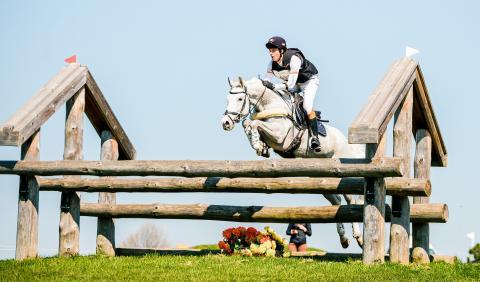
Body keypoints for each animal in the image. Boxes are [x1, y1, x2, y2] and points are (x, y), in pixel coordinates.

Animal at [221, 76, 364, 248]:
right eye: (227, 99)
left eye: (240, 99)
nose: (225, 123)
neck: (270, 103)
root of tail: (348, 143)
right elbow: (248, 124)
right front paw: (260, 146)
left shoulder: (280, 136)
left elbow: (254, 124)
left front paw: (256, 144)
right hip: (321, 177)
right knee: (336, 201)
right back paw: (344, 239)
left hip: (342, 173)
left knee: (350, 200)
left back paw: (359, 237)